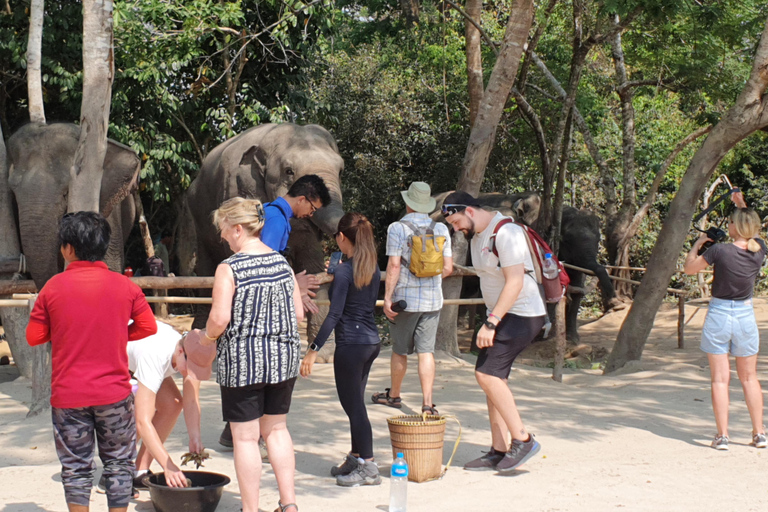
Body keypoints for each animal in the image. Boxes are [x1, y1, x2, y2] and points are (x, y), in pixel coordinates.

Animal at [178, 123, 344, 346]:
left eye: (341, 170)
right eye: (289, 171)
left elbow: (312, 262)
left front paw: (323, 351)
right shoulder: (239, 187)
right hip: (198, 217)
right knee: (207, 267)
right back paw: (201, 333)